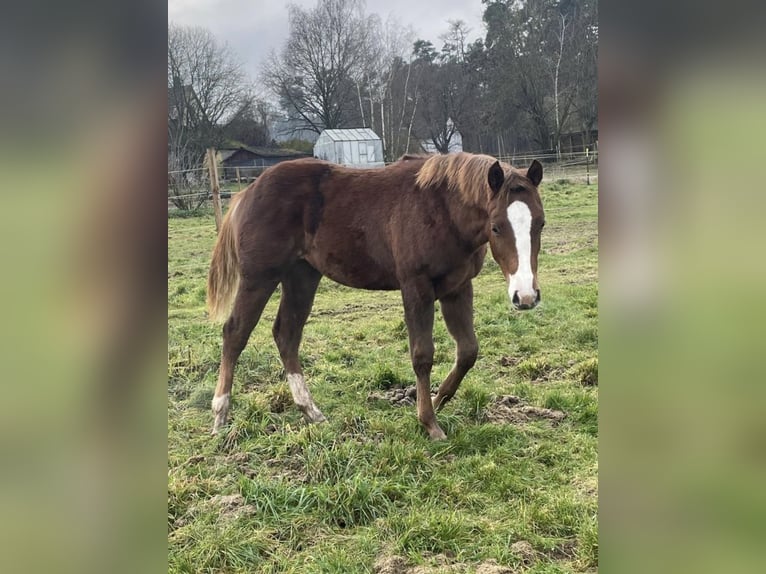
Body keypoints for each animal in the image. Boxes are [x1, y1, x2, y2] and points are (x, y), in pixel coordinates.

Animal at [207, 153, 544, 440]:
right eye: (496, 227)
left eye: (540, 223)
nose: (525, 296)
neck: (443, 211)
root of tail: (247, 193)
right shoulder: (416, 286)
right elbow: (422, 355)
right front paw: (429, 422)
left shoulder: (458, 287)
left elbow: (468, 351)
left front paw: (439, 399)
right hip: (259, 277)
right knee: (235, 332)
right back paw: (220, 414)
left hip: (302, 276)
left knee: (286, 334)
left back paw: (311, 412)